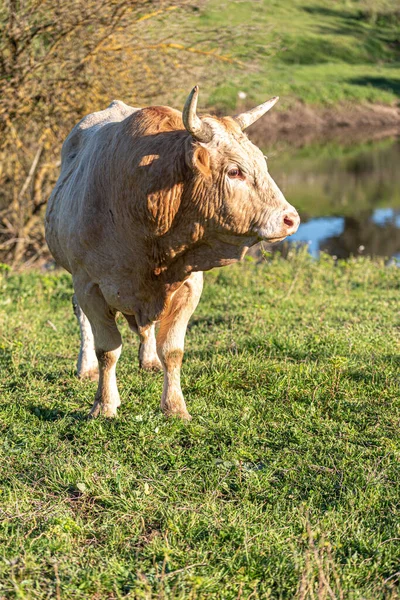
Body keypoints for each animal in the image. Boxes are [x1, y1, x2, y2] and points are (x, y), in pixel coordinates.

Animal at [45, 86, 298, 420]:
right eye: (234, 171)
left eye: (263, 164)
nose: (291, 219)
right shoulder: (89, 284)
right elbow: (107, 350)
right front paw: (104, 404)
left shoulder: (190, 284)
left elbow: (173, 351)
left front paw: (175, 406)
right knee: (81, 316)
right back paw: (84, 366)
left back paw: (148, 358)